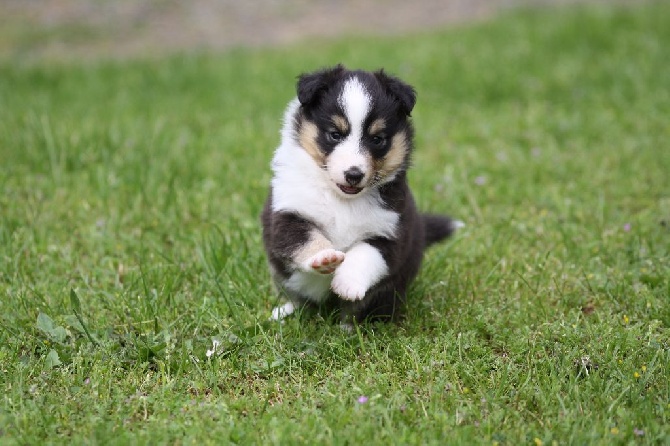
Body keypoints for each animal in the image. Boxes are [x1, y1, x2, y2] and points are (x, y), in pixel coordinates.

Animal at [262, 65, 462, 324]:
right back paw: (285, 311)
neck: (343, 200)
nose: (353, 175)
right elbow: (304, 238)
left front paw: (347, 284)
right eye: (335, 134)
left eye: (377, 139)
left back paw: (350, 325)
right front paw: (325, 258)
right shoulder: (288, 213)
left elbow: (366, 254)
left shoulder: (392, 230)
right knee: (297, 298)